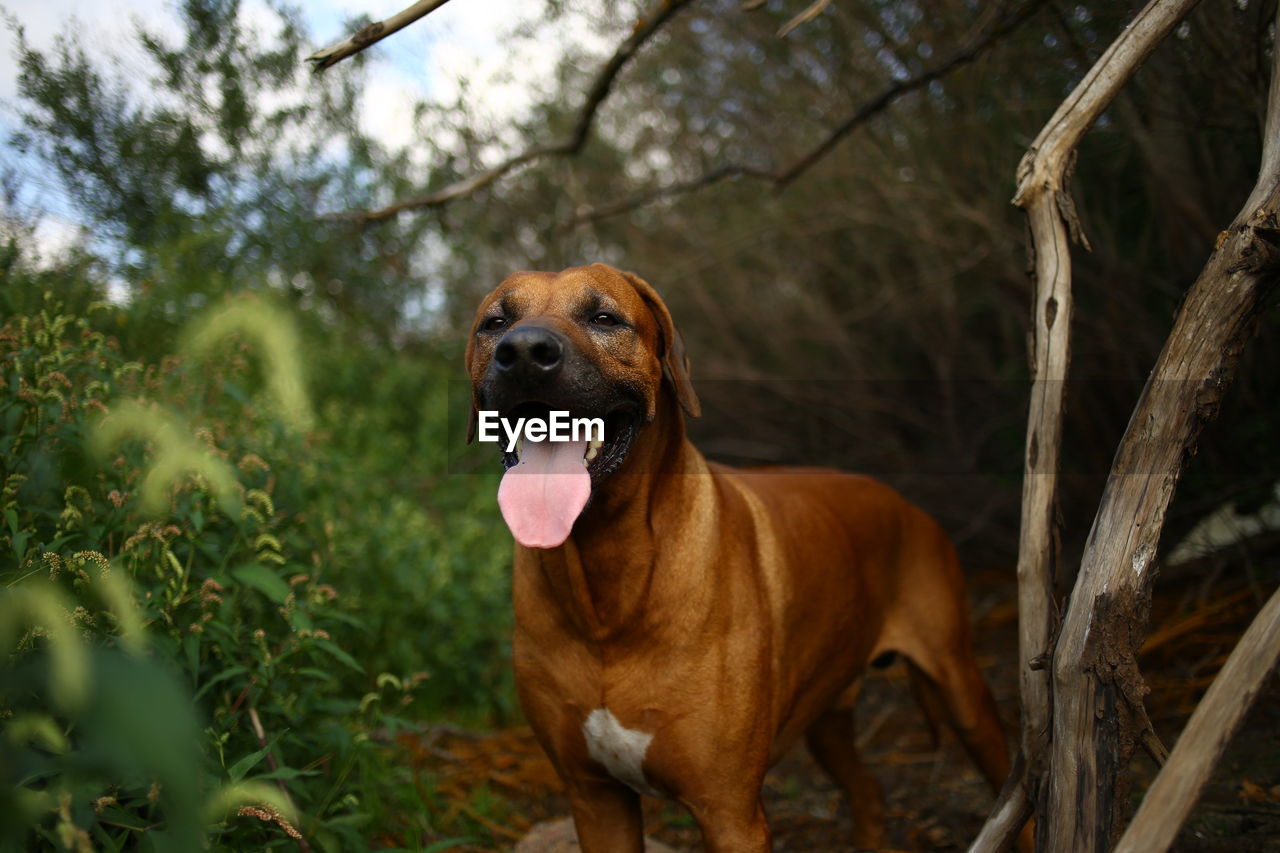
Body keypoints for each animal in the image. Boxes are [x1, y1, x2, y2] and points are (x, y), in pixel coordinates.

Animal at [465, 262, 1013, 845]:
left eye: (604, 318)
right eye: (495, 323)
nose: (523, 352)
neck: (607, 577)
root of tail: (905, 502)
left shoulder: (729, 813)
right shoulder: (595, 800)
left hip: (962, 690)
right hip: (827, 712)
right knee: (868, 792)